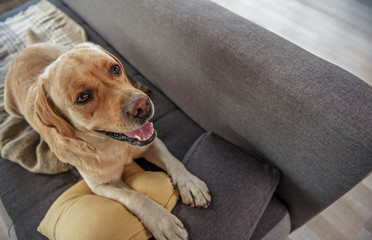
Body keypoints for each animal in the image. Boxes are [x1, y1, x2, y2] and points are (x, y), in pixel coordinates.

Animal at [4, 38, 211, 239]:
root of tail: (23, 50)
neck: (113, 146)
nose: (142, 105)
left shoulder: (151, 143)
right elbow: (134, 197)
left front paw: (190, 183)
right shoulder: (102, 185)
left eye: (115, 69)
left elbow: (173, 161)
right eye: (83, 97)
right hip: (10, 106)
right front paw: (162, 221)